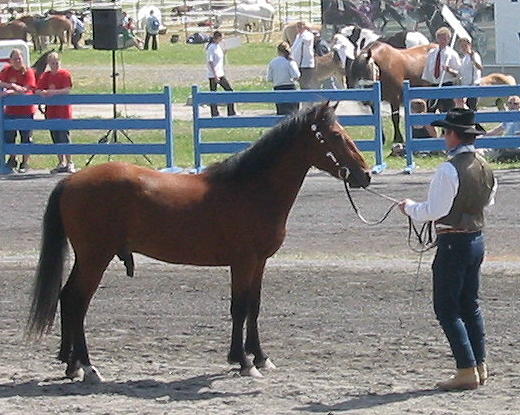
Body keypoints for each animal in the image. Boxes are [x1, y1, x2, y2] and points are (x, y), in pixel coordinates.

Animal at [27, 103, 370, 384]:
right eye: (336, 135)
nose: (364, 175)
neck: (251, 189)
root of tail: (70, 181)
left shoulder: (259, 262)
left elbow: (254, 307)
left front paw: (260, 357)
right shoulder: (243, 262)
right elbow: (239, 307)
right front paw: (243, 361)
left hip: (88, 258)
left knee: (67, 298)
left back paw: (72, 366)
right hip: (95, 258)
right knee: (77, 302)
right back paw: (88, 367)